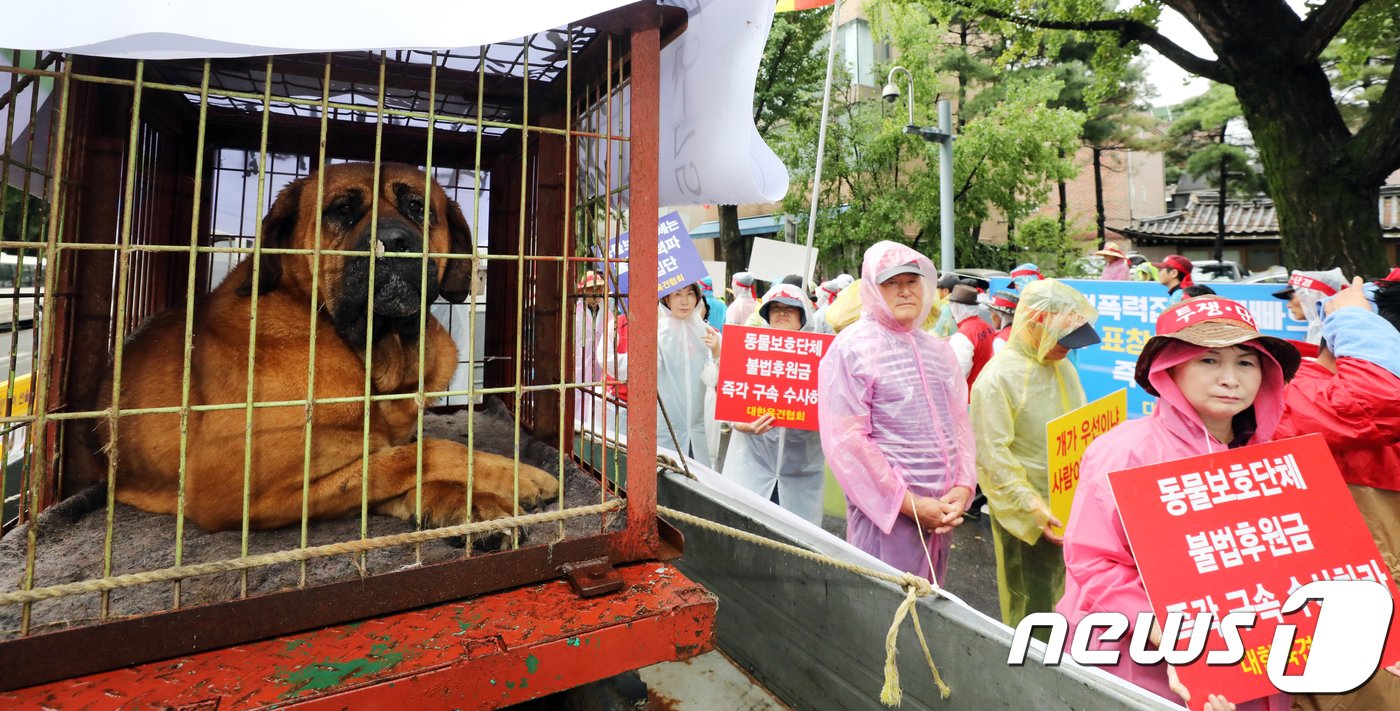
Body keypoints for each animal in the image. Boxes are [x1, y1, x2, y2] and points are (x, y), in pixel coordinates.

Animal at [100, 163, 557, 534]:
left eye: (417, 207)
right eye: (340, 210)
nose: (394, 241)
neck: (375, 355)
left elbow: (393, 464)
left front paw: (472, 504)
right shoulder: (233, 489)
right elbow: (416, 455)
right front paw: (515, 475)